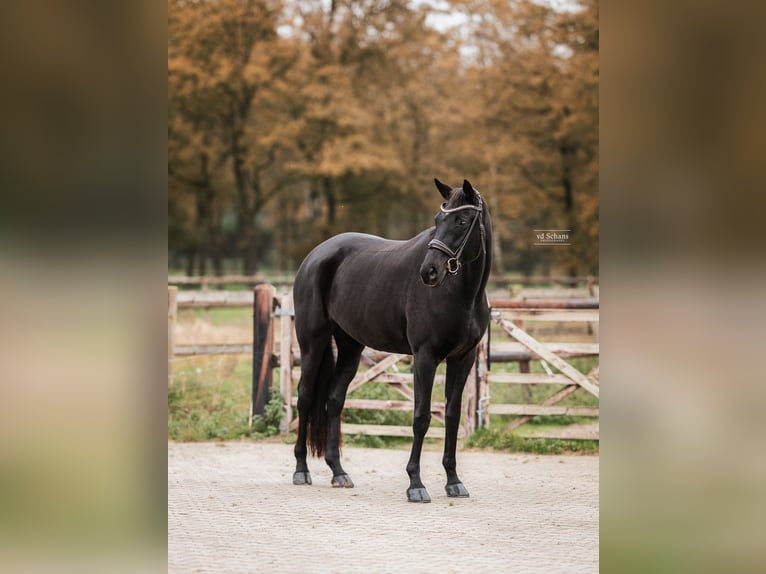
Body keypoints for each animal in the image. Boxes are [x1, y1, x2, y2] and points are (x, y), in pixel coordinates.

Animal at [288, 180, 492, 504]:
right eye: (437, 220)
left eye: (461, 221)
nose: (429, 271)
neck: (462, 294)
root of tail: (315, 256)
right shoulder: (424, 357)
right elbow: (422, 418)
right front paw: (415, 484)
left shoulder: (463, 359)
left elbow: (452, 416)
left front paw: (453, 481)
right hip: (313, 343)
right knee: (306, 397)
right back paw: (301, 470)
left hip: (351, 348)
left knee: (334, 400)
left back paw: (339, 472)